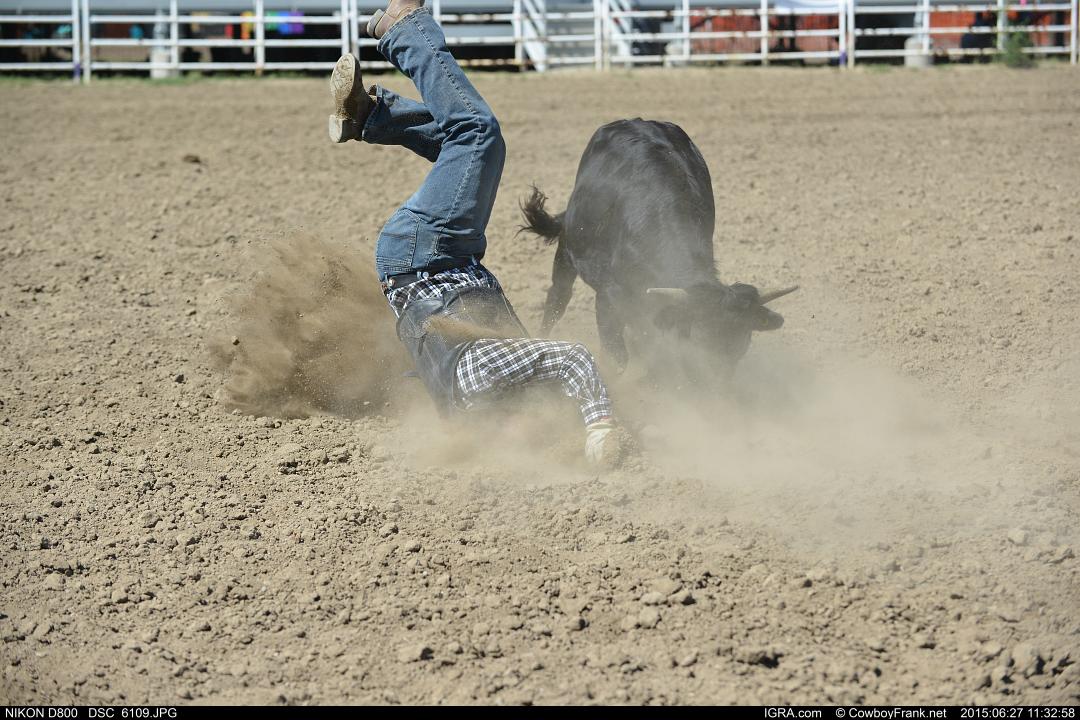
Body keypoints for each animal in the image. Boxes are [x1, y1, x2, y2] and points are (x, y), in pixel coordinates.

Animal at [519, 118, 796, 390]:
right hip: (567, 248)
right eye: (697, 341)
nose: (715, 390)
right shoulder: (609, 297)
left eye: (742, 345)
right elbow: (616, 352)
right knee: (557, 299)